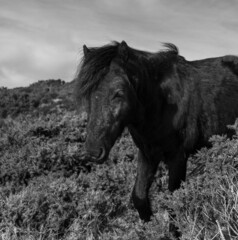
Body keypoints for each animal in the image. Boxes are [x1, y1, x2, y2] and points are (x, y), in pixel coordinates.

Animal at [75, 40, 238, 237]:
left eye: (118, 93)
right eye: (87, 93)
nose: (93, 151)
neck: (160, 105)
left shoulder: (177, 157)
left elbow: (174, 199)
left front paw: (175, 232)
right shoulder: (147, 155)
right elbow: (138, 197)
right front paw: (149, 228)